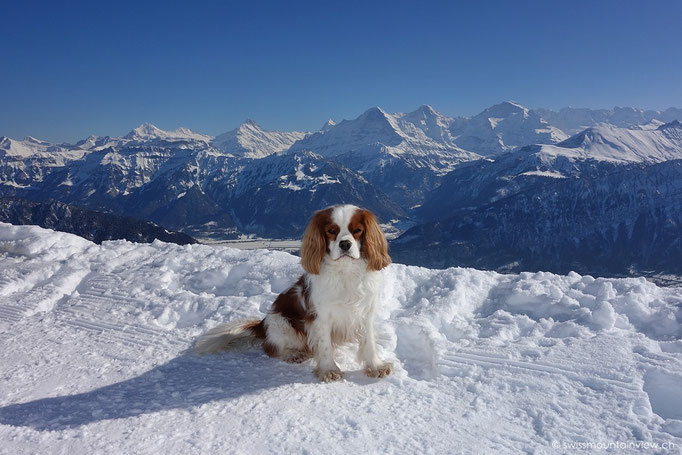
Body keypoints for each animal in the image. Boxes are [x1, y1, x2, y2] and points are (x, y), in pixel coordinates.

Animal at [194, 205, 390, 382]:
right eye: (331, 231)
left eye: (357, 230)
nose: (345, 244)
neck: (346, 271)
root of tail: (261, 324)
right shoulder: (320, 318)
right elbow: (325, 346)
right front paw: (329, 370)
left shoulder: (365, 313)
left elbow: (369, 343)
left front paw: (376, 367)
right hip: (283, 324)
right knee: (270, 347)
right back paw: (293, 354)